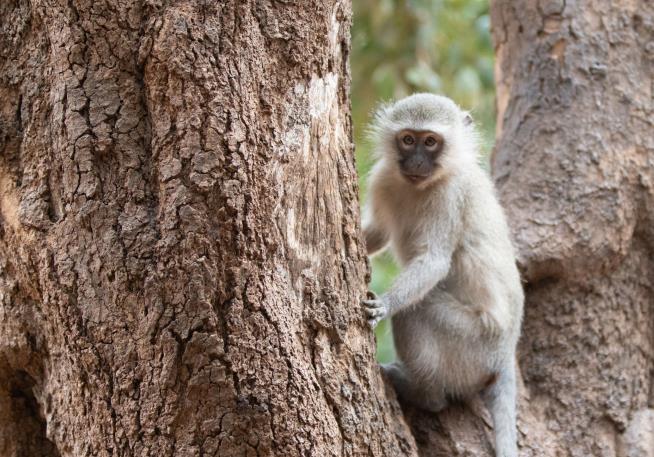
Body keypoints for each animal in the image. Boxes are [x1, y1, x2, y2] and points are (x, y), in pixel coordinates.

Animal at [362, 92, 524, 456]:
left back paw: (425, 395)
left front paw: (385, 303)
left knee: (416, 309)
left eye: (431, 142)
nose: (417, 163)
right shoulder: (383, 177)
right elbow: (377, 233)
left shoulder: (449, 197)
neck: (421, 186)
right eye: (408, 140)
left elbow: (434, 261)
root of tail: (506, 354)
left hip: (474, 346)